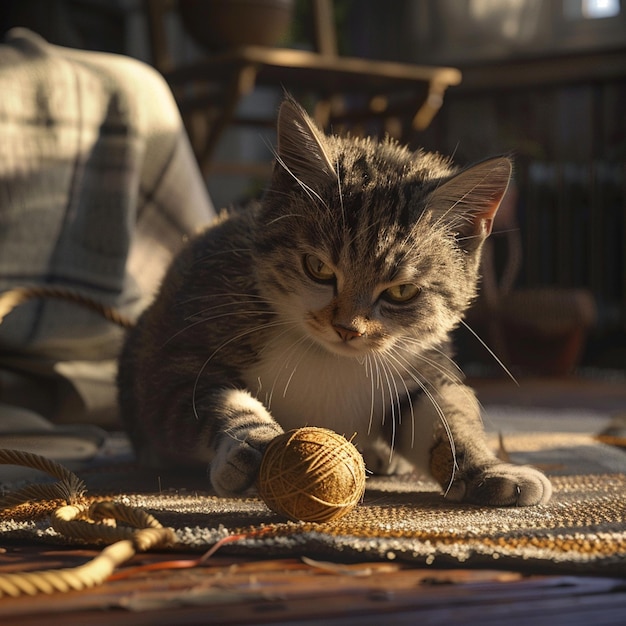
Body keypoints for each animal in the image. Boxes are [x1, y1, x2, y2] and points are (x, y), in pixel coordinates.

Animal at [114, 97, 548, 508]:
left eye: (401, 292)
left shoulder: (420, 364)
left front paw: (487, 469)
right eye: (318, 268)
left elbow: (446, 414)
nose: (346, 328)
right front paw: (250, 440)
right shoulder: (183, 349)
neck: (329, 359)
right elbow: (202, 398)